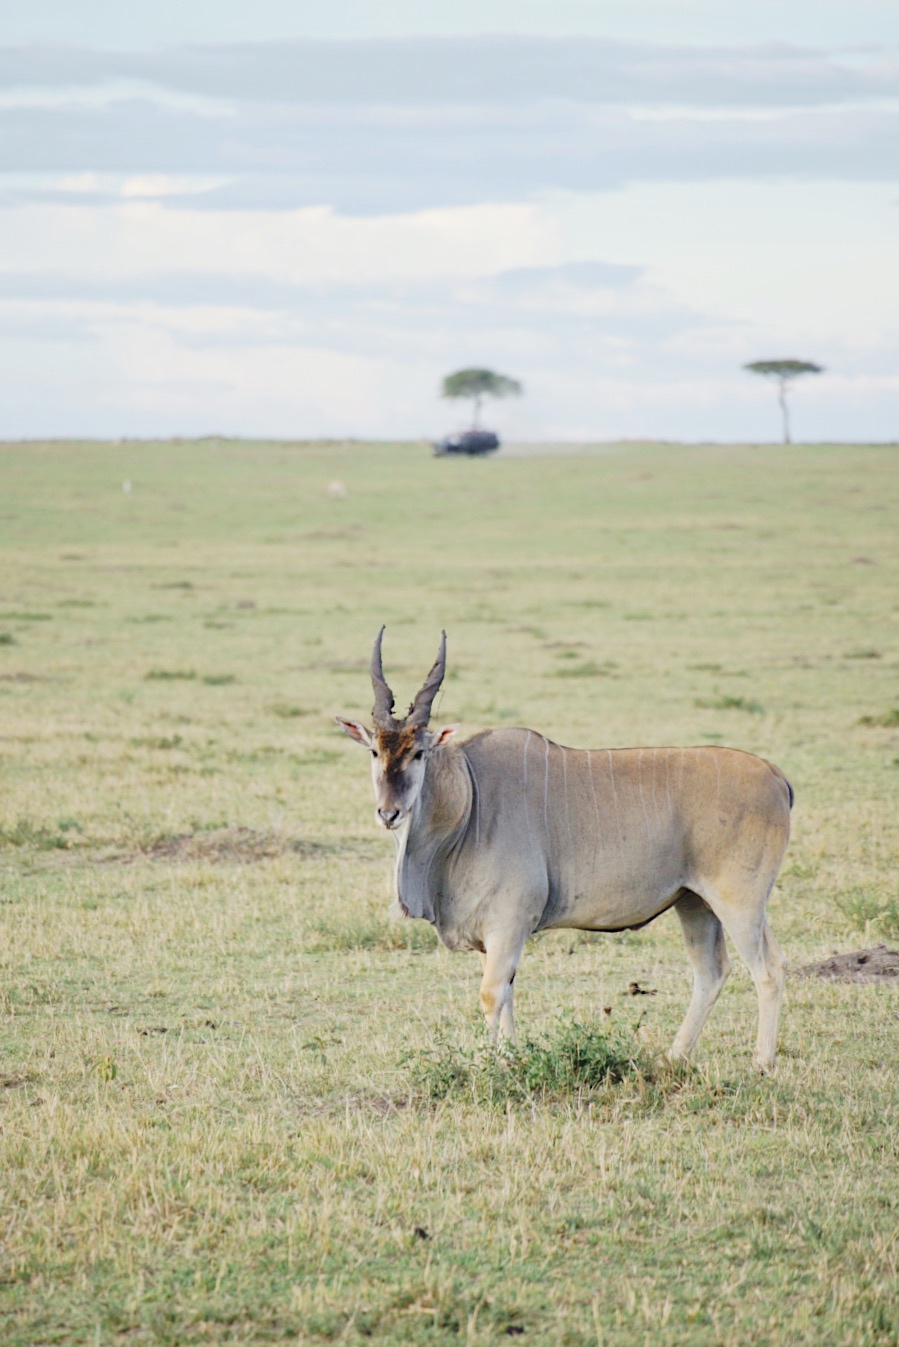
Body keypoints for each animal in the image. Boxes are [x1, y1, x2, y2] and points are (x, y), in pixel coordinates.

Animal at [339, 625, 792, 1066]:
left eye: (418, 753)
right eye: (375, 751)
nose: (389, 813)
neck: (469, 796)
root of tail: (775, 775)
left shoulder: (509, 922)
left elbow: (491, 995)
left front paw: (490, 1067)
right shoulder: (490, 933)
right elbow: (506, 993)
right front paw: (511, 1059)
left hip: (739, 902)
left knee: (768, 969)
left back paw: (761, 1064)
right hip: (695, 902)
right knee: (712, 972)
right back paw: (672, 1059)